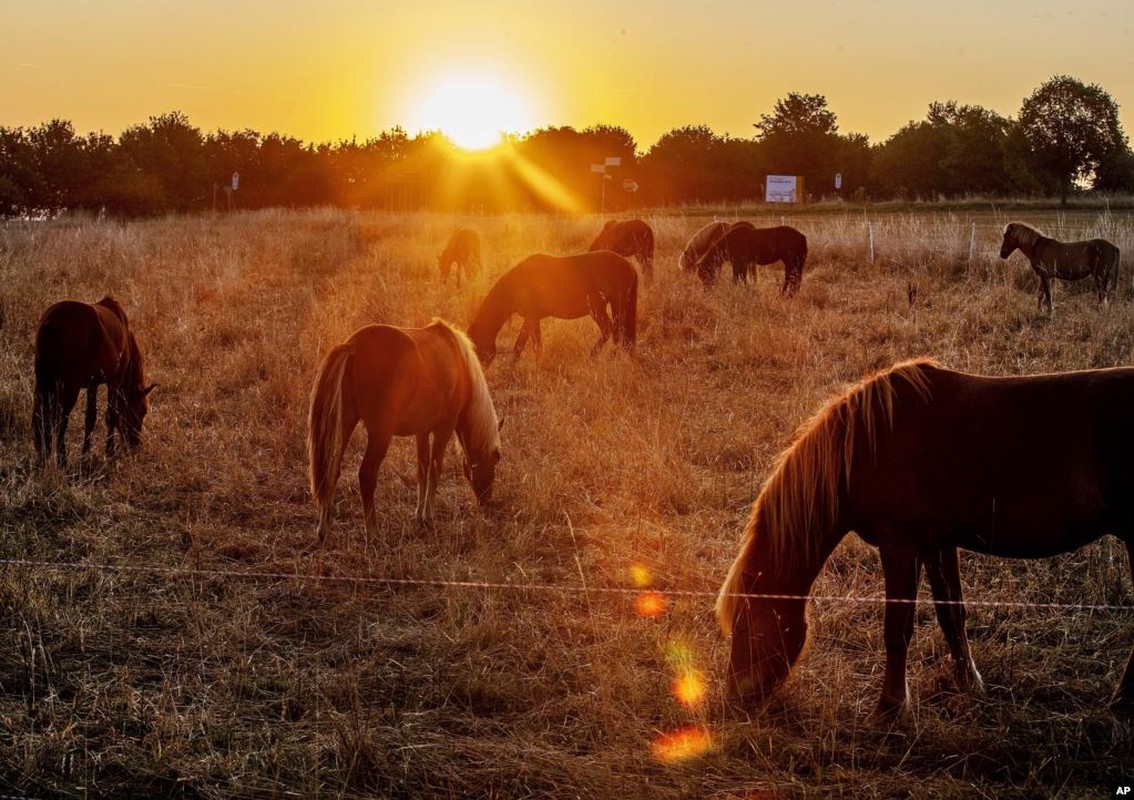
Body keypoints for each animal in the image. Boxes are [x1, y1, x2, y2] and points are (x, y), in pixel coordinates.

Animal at [32, 297, 154, 465]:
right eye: (142, 410)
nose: (134, 444)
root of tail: (52, 321)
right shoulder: (115, 382)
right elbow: (111, 415)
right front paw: (109, 451)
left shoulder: (92, 385)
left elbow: (90, 418)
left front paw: (85, 453)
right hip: (70, 387)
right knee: (61, 420)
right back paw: (62, 459)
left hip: (44, 383)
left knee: (42, 416)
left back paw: (43, 455)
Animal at [306, 317, 501, 542]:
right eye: (493, 462)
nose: (487, 503)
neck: (459, 363)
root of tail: (354, 345)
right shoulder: (444, 428)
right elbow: (435, 469)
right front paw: (428, 516)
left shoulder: (422, 431)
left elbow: (422, 468)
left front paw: (419, 514)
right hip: (380, 435)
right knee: (366, 475)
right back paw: (373, 533)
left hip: (345, 426)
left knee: (331, 471)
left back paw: (323, 528)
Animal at [462, 250, 639, 367]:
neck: (516, 285)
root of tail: (629, 267)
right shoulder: (530, 318)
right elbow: (519, 346)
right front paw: (513, 368)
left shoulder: (532, 318)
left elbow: (536, 346)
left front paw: (537, 367)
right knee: (619, 335)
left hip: (603, 308)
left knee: (610, 331)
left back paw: (594, 356)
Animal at [716, 358, 1134, 721]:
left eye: (747, 624)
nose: (735, 699)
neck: (869, 444)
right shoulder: (937, 545)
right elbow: (952, 615)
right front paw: (969, 683)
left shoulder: (899, 548)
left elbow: (897, 629)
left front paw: (889, 708)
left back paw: (1121, 703)